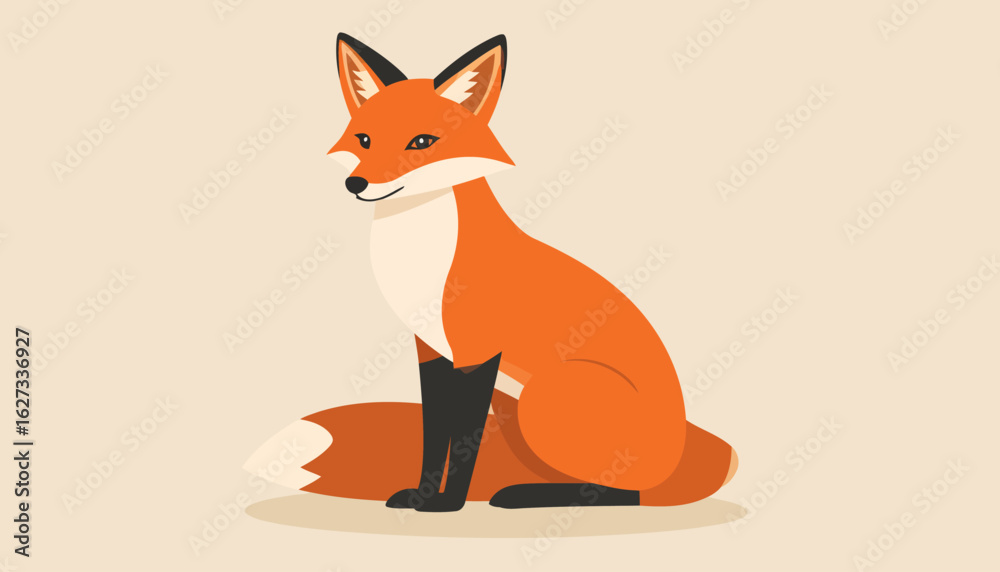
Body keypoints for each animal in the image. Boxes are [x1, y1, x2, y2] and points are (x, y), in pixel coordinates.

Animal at [244, 33, 738, 512]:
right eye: (364, 139)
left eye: (421, 143)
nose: (356, 184)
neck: (418, 252)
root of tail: (688, 454)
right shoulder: (432, 349)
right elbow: (434, 434)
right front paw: (422, 498)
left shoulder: (478, 351)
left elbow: (464, 438)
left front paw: (446, 505)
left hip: (544, 397)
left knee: (623, 492)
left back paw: (524, 495)